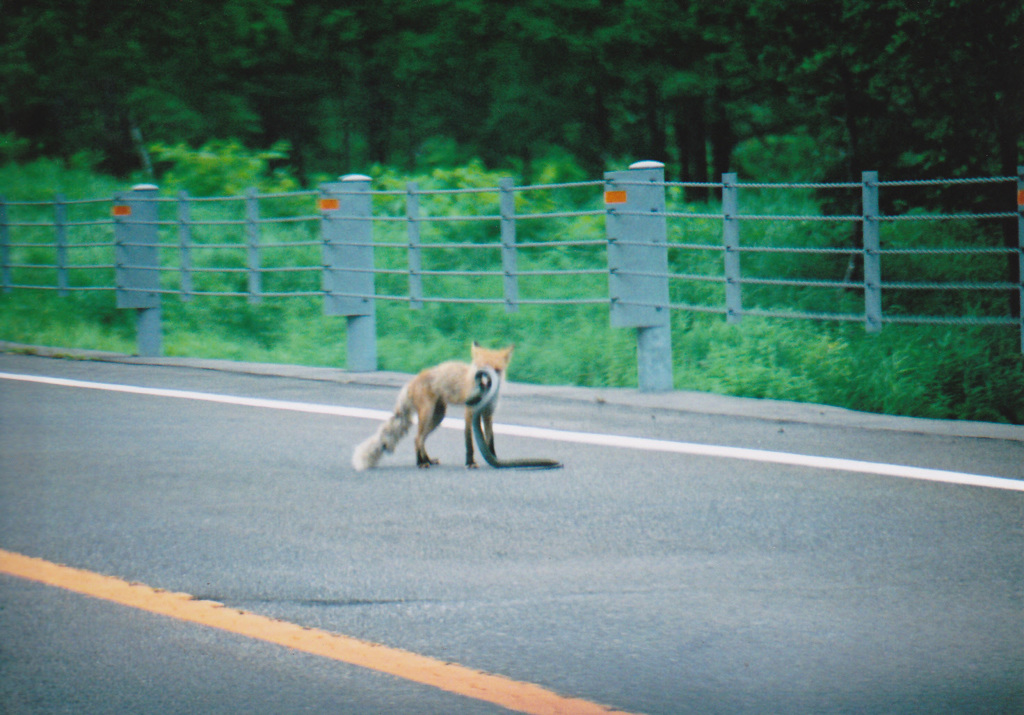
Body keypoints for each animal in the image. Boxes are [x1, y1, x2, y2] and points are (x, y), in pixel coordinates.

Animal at [352, 340, 512, 467]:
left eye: (496, 370)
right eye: (480, 370)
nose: (484, 384)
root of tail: (412, 381)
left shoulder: (488, 414)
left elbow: (490, 439)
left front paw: (494, 459)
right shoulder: (469, 412)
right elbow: (469, 442)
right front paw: (470, 463)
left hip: (438, 417)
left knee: (421, 440)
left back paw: (427, 460)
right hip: (427, 414)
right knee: (417, 439)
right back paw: (421, 463)